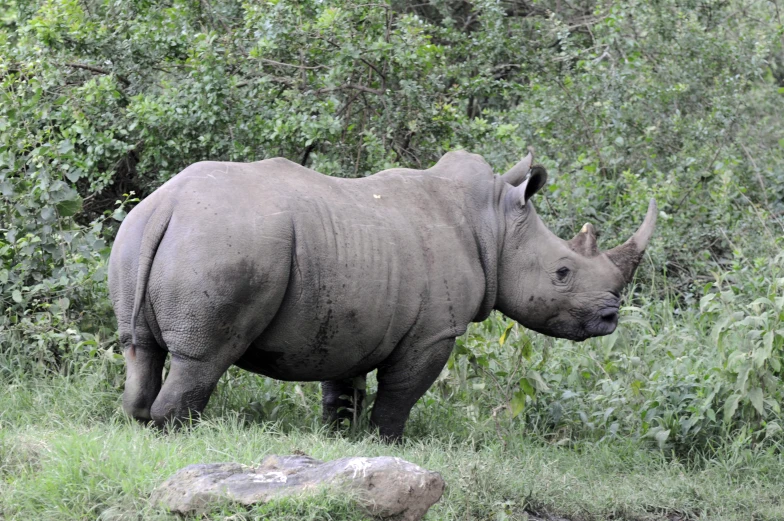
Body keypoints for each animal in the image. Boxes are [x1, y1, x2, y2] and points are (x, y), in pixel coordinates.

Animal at [108, 149, 656, 438]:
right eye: (563, 272)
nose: (610, 317)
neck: (496, 225)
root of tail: (168, 205)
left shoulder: (348, 313)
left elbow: (342, 386)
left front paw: (337, 438)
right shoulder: (435, 331)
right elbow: (403, 391)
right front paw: (387, 441)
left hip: (140, 234)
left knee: (140, 348)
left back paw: (140, 423)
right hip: (225, 240)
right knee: (205, 356)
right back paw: (181, 433)